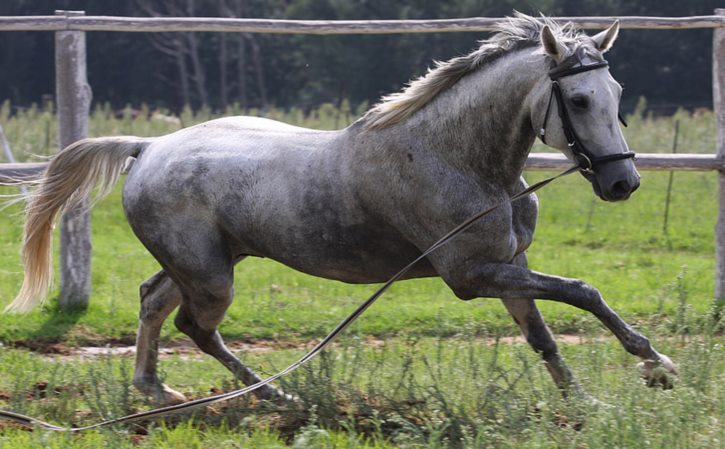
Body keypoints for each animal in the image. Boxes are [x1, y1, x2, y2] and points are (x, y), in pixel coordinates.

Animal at [5, 14, 676, 406]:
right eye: (579, 98)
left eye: (617, 93)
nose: (623, 182)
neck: (459, 159)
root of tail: (147, 148)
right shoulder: (470, 275)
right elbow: (583, 291)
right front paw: (657, 365)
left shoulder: (510, 266)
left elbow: (542, 338)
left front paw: (584, 405)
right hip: (212, 276)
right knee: (194, 326)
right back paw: (278, 400)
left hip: (205, 263)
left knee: (152, 300)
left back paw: (158, 392)